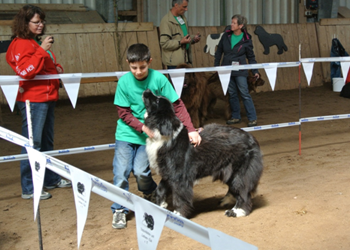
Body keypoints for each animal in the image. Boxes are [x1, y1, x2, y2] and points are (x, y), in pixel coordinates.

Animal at [142, 89, 262, 217]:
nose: (147, 90)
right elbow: (160, 189)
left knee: (242, 191)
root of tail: (252, 138)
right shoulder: (168, 173)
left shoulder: (179, 177)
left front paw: (178, 213)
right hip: (229, 171)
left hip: (240, 172)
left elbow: (179, 196)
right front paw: (161, 206)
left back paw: (237, 211)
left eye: (157, 100)